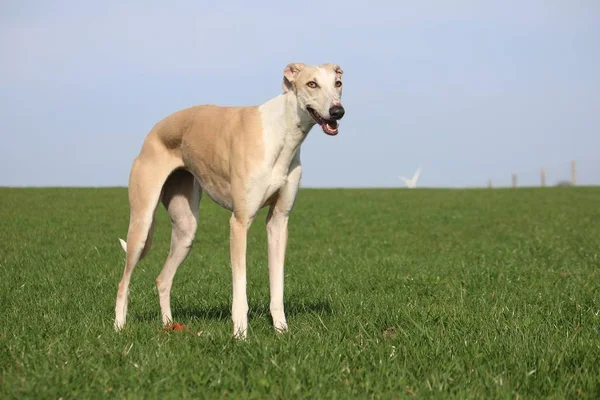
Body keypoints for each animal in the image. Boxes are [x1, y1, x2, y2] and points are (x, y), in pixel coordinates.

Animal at [114, 61, 344, 338]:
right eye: (312, 83)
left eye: (338, 83)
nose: (338, 111)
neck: (281, 132)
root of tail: (154, 130)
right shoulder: (240, 222)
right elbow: (240, 288)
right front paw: (240, 335)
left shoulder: (279, 221)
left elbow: (277, 285)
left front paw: (281, 330)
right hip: (141, 221)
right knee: (123, 282)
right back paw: (118, 328)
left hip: (186, 228)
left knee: (163, 279)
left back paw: (169, 325)